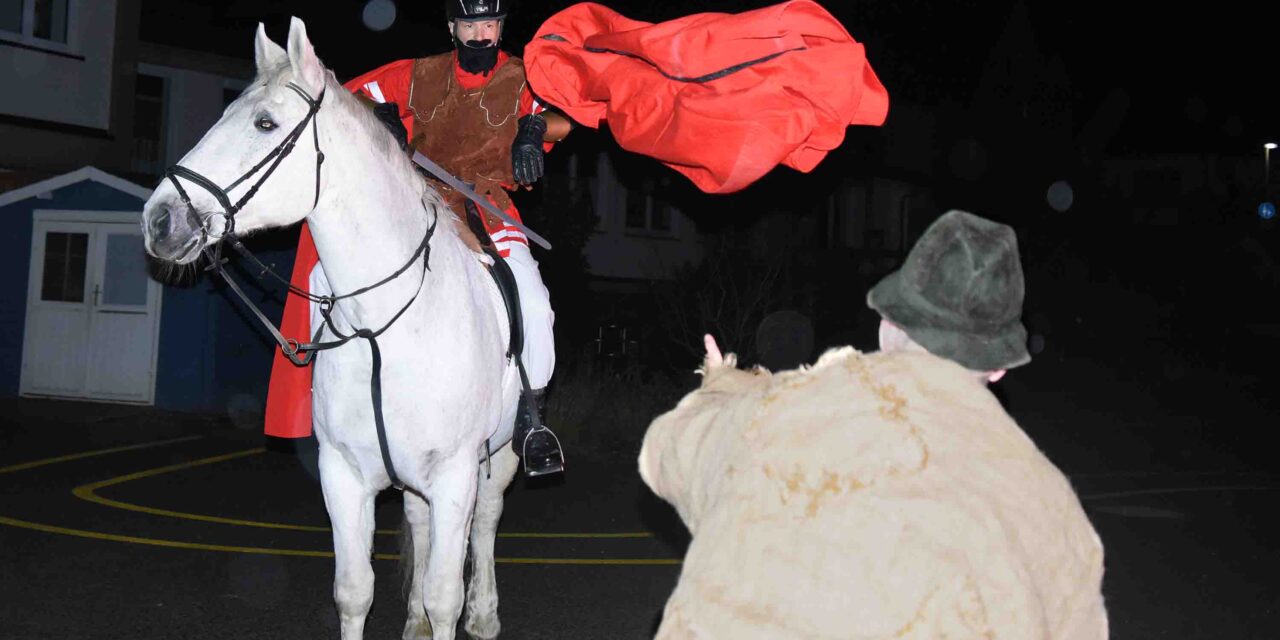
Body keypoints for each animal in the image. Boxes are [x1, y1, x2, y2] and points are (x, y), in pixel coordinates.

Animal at [147, 17, 527, 637]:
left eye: (266, 123)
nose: (159, 221)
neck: (385, 331)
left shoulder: (455, 475)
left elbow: (446, 592)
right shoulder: (345, 476)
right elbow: (354, 592)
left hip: (499, 459)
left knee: (488, 520)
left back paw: (485, 614)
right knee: (420, 523)